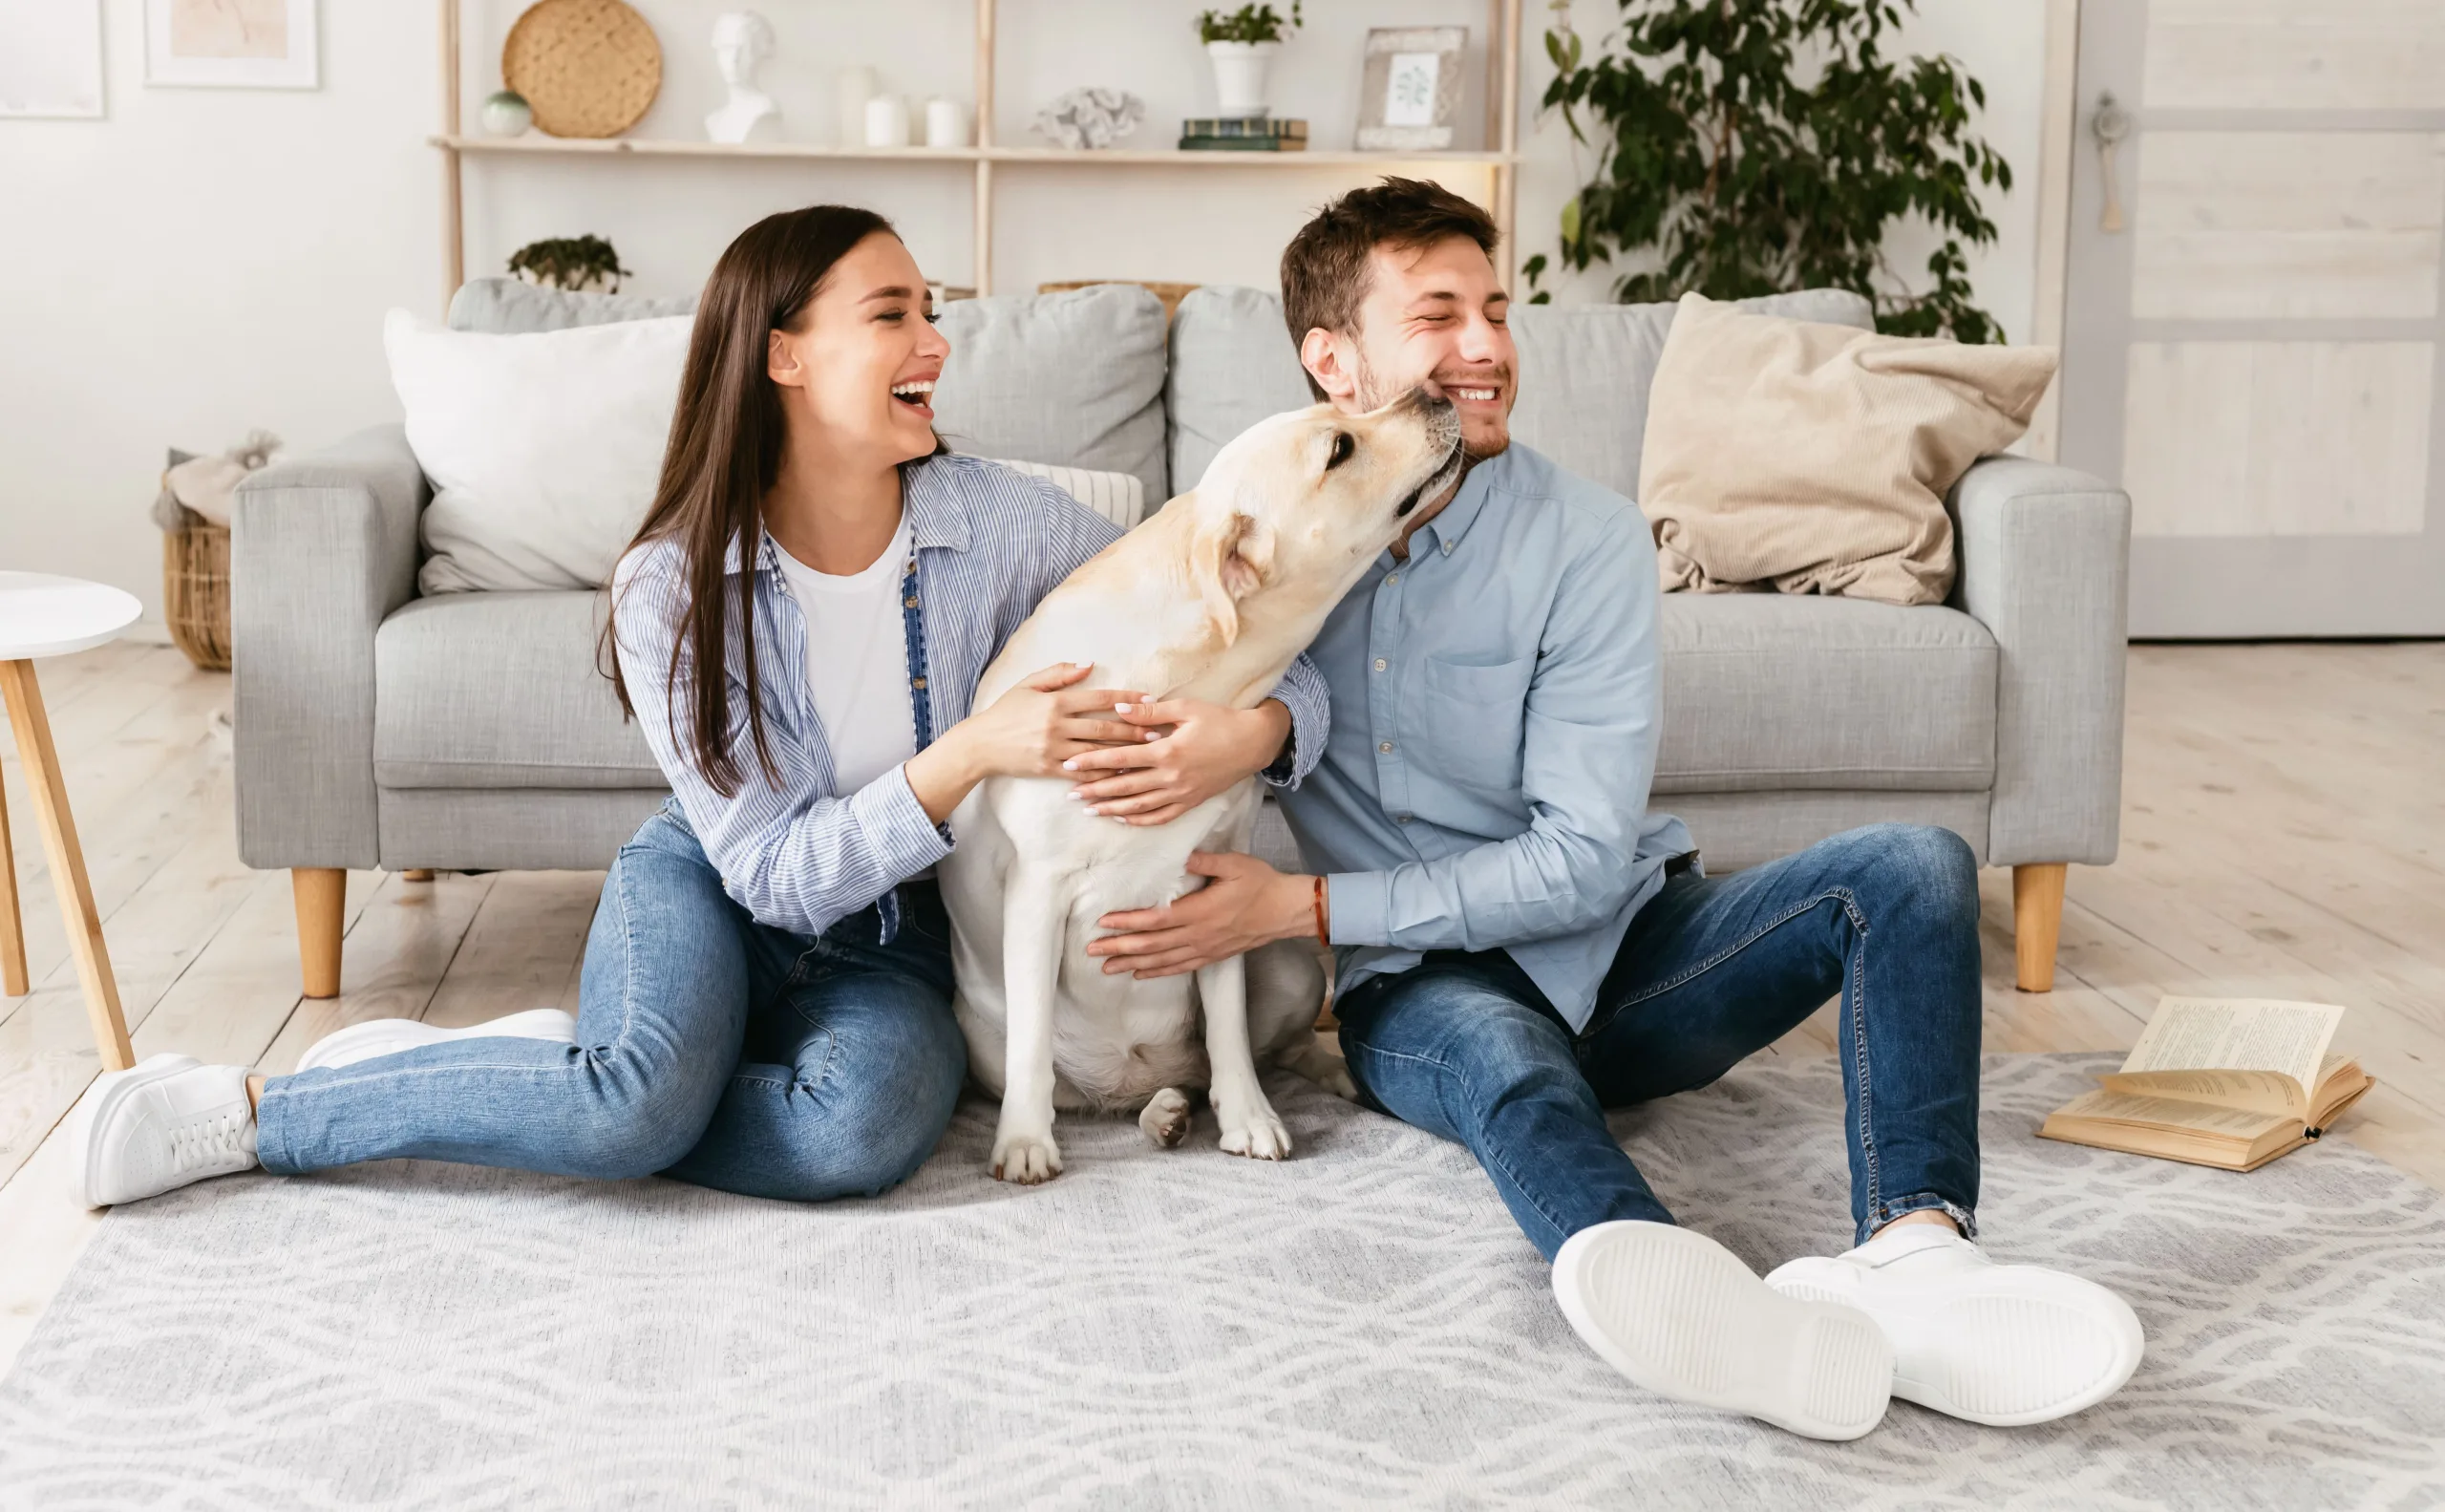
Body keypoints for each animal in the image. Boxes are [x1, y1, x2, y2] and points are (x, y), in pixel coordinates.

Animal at [944, 386, 1456, 1179]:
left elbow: (1229, 1032)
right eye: (1339, 447)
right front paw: (1024, 1142)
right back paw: (1157, 1112)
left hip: (1290, 964)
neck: (1186, 685)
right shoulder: (1035, 890)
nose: (1433, 389)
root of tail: (1131, 1075)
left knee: (1272, 1047)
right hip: (981, 1036)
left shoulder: (1219, 889)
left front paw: (1249, 1117)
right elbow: (1032, 1041)